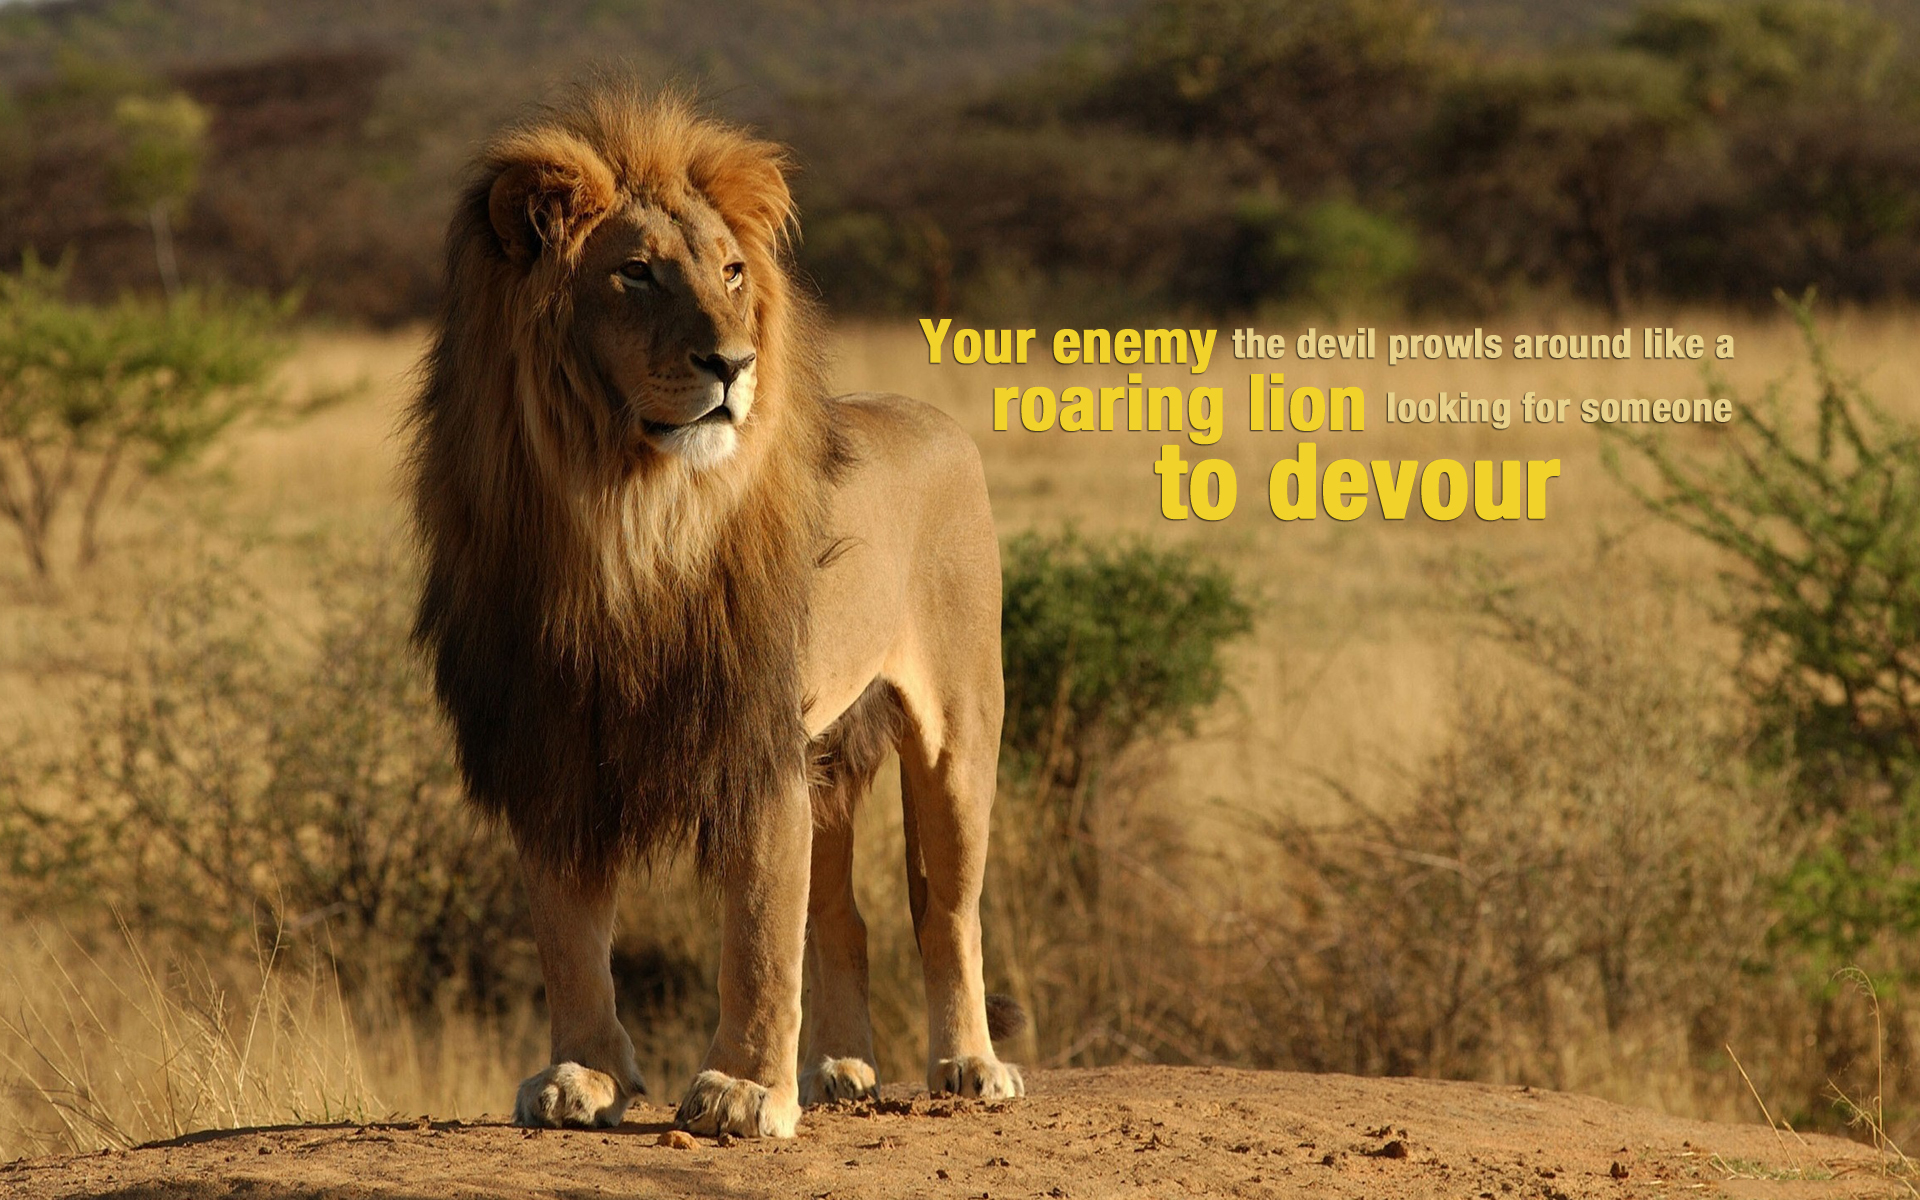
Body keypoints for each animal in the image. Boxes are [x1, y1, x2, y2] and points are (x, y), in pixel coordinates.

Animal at [406, 84, 1024, 1139]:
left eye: (733, 272)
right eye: (636, 274)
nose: (732, 363)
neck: (626, 516)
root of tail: (934, 417)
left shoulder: (752, 736)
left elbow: (760, 934)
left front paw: (742, 1090)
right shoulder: (551, 741)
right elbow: (569, 933)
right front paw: (583, 1075)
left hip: (958, 732)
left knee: (947, 910)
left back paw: (969, 1064)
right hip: (831, 756)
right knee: (844, 916)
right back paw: (840, 1069)